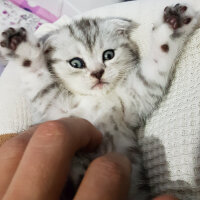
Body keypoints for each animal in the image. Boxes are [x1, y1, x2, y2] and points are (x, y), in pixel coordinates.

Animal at [0, 3, 198, 200]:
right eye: (76, 63)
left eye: (108, 55)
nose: (97, 73)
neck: (96, 100)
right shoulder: (51, 106)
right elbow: (39, 80)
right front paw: (20, 46)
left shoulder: (137, 95)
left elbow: (155, 66)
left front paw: (173, 24)